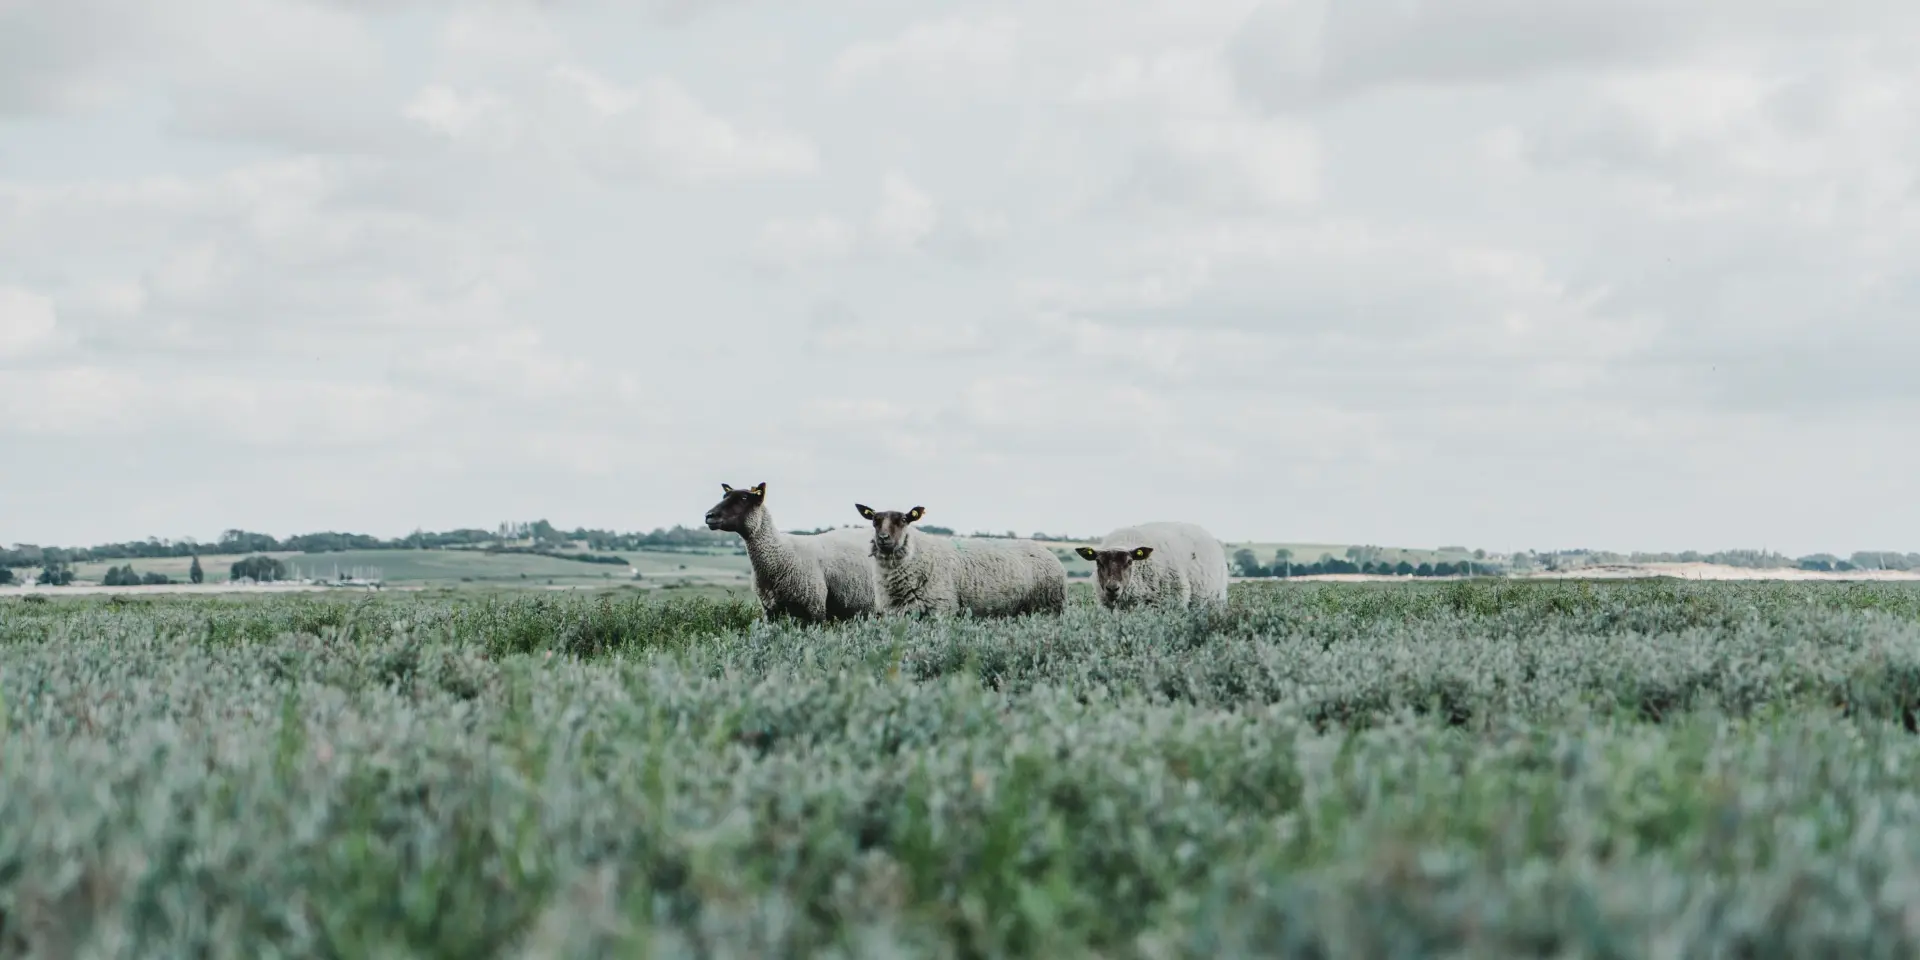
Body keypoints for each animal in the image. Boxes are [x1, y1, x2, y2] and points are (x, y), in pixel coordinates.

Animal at [703, 482, 877, 622]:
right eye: (724, 495)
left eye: (744, 498)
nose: (709, 516)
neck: (781, 552)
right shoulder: (770, 610)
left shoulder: (815, 608)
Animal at [854, 503, 1066, 618]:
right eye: (874, 521)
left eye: (904, 520)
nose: (883, 538)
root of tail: (1046, 551)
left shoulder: (940, 610)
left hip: (1048, 607)